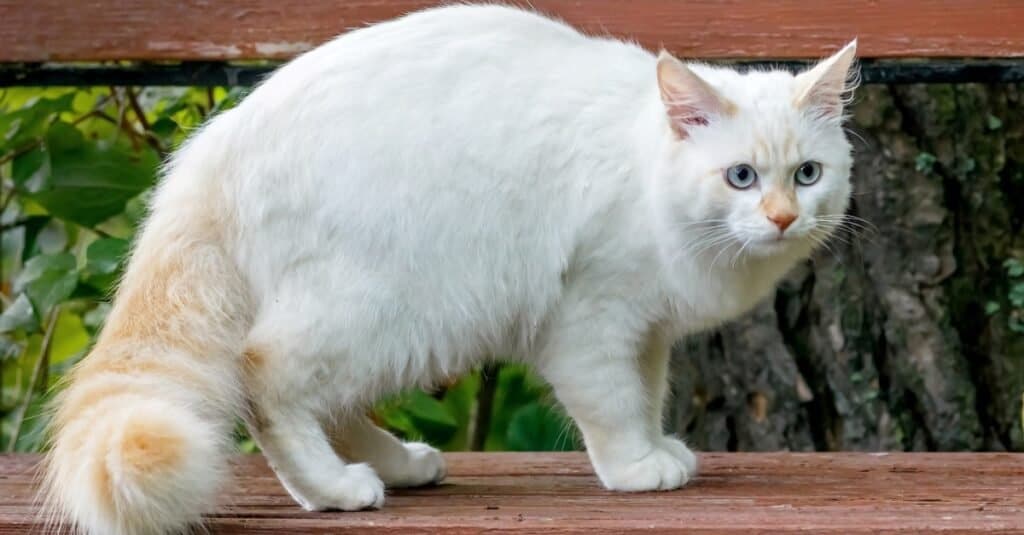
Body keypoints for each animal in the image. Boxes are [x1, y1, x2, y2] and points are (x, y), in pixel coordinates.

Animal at [39, 4, 856, 532]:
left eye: (807, 175)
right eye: (741, 178)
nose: (783, 219)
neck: (642, 165)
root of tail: (212, 148)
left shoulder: (646, 331)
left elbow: (646, 397)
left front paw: (659, 451)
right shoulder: (592, 319)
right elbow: (614, 407)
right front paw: (636, 469)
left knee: (330, 404)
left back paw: (400, 465)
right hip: (389, 309)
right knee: (266, 378)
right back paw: (335, 490)